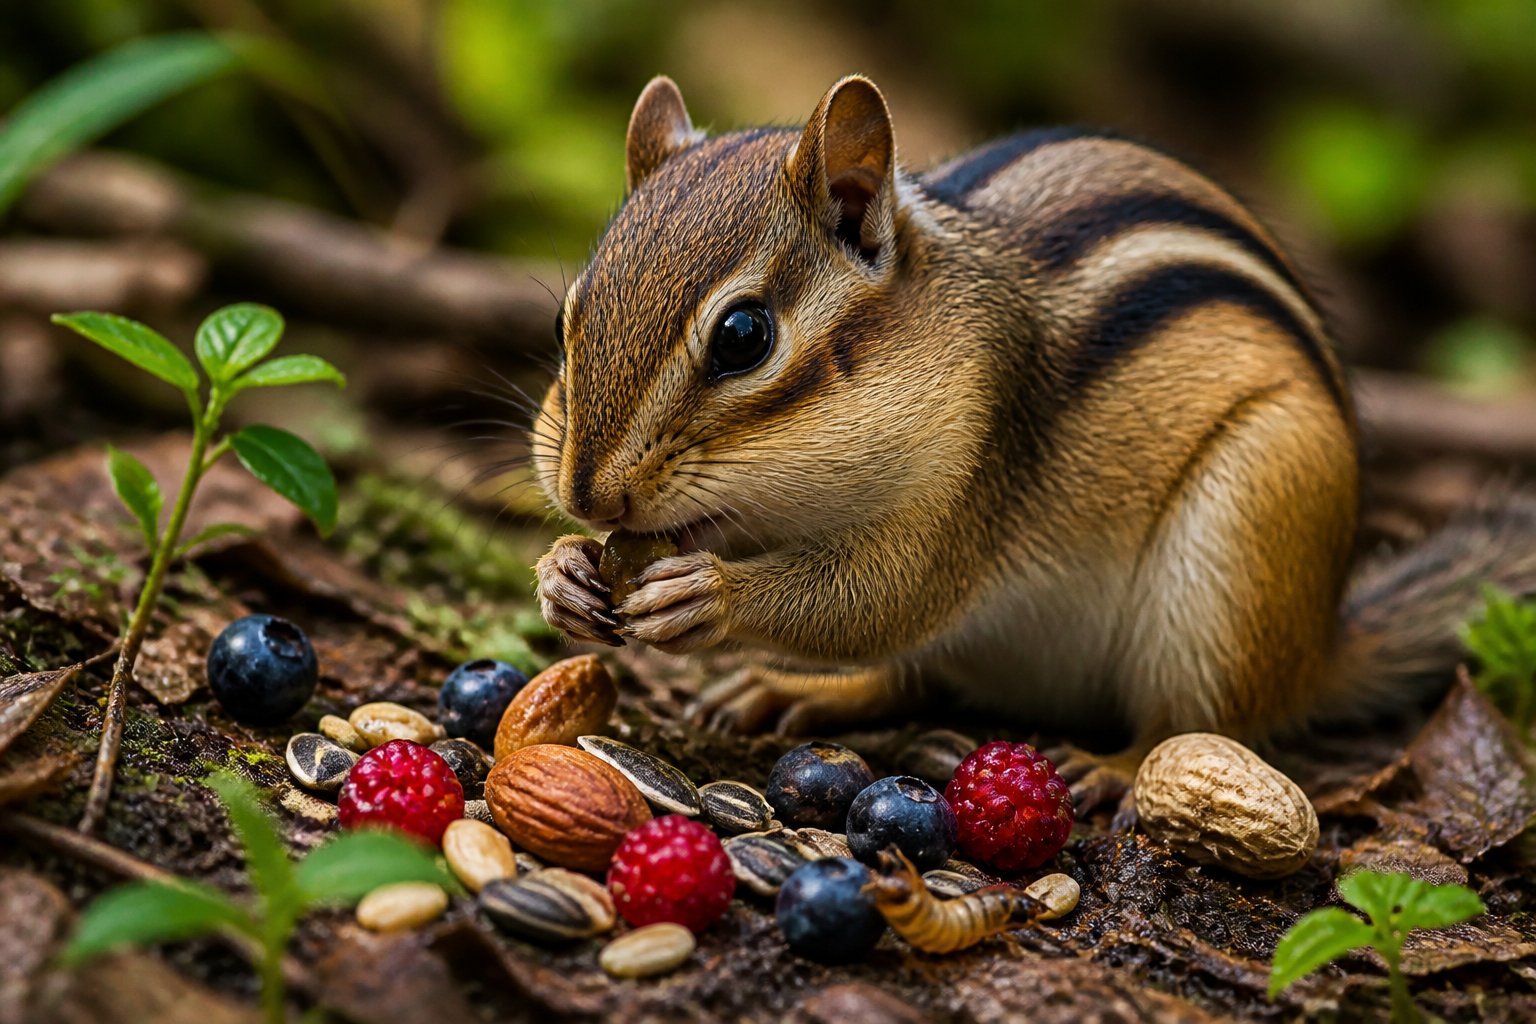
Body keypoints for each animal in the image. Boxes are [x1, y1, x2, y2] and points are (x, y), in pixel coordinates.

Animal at [531, 75, 1536, 806]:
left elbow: (884, 598)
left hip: (1242, 541)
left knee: (1201, 720)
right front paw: (563, 572)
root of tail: (1323, 644)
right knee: (914, 681)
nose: (587, 495)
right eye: (567, 317)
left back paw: (1115, 768)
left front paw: (708, 595)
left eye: (744, 336)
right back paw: (798, 692)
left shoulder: (974, 469)